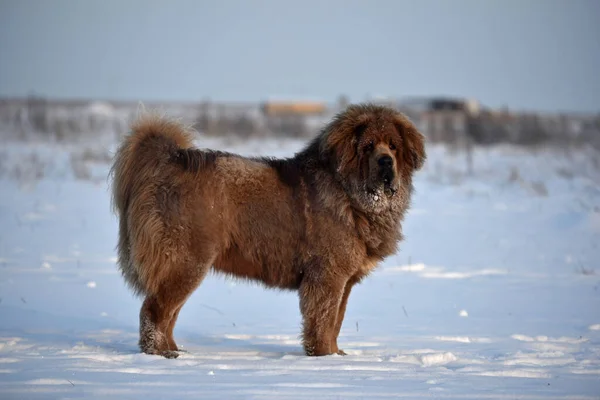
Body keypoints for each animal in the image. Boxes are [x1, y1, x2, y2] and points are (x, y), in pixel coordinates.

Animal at [109, 102, 426, 356]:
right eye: (368, 146)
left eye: (393, 146)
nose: (386, 162)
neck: (350, 195)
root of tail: (165, 162)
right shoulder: (327, 276)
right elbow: (323, 322)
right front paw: (325, 358)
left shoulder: (344, 281)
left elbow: (336, 322)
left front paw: (338, 356)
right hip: (187, 261)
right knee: (154, 311)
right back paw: (160, 355)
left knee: (168, 314)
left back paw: (175, 350)